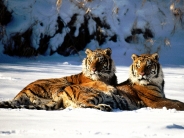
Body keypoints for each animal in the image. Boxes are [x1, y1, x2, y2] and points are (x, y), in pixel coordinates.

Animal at [0, 48, 128, 110]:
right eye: (91, 60)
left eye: (100, 61)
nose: (93, 69)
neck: (105, 77)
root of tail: (22, 91)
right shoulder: (88, 83)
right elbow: (97, 84)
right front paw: (111, 89)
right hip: (62, 84)